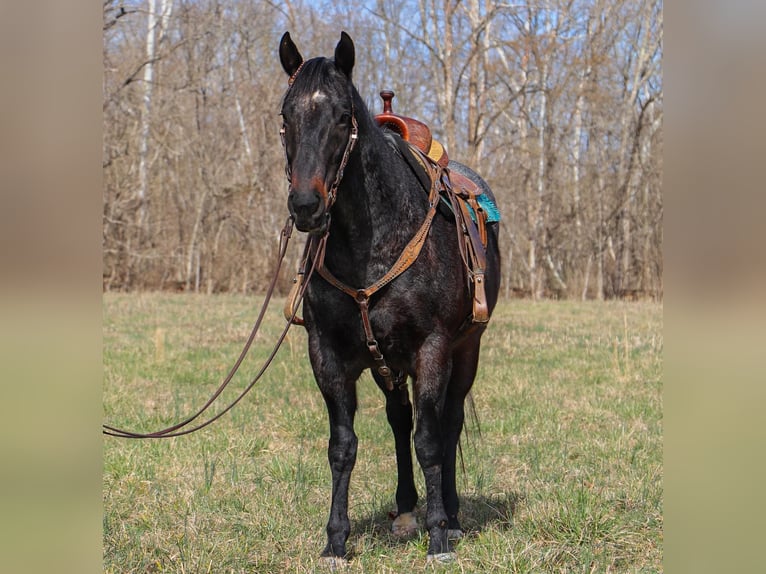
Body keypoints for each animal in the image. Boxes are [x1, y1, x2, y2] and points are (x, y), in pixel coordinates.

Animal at [278, 30, 504, 564]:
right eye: (285, 116)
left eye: (343, 116)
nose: (306, 206)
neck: (372, 241)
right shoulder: (328, 354)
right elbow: (343, 445)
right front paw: (335, 540)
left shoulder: (432, 349)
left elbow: (431, 440)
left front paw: (439, 535)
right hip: (387, 363)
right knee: (400, 419)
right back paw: (405, 511)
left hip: (467, 349)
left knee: (448, 422)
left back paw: (453, 518)